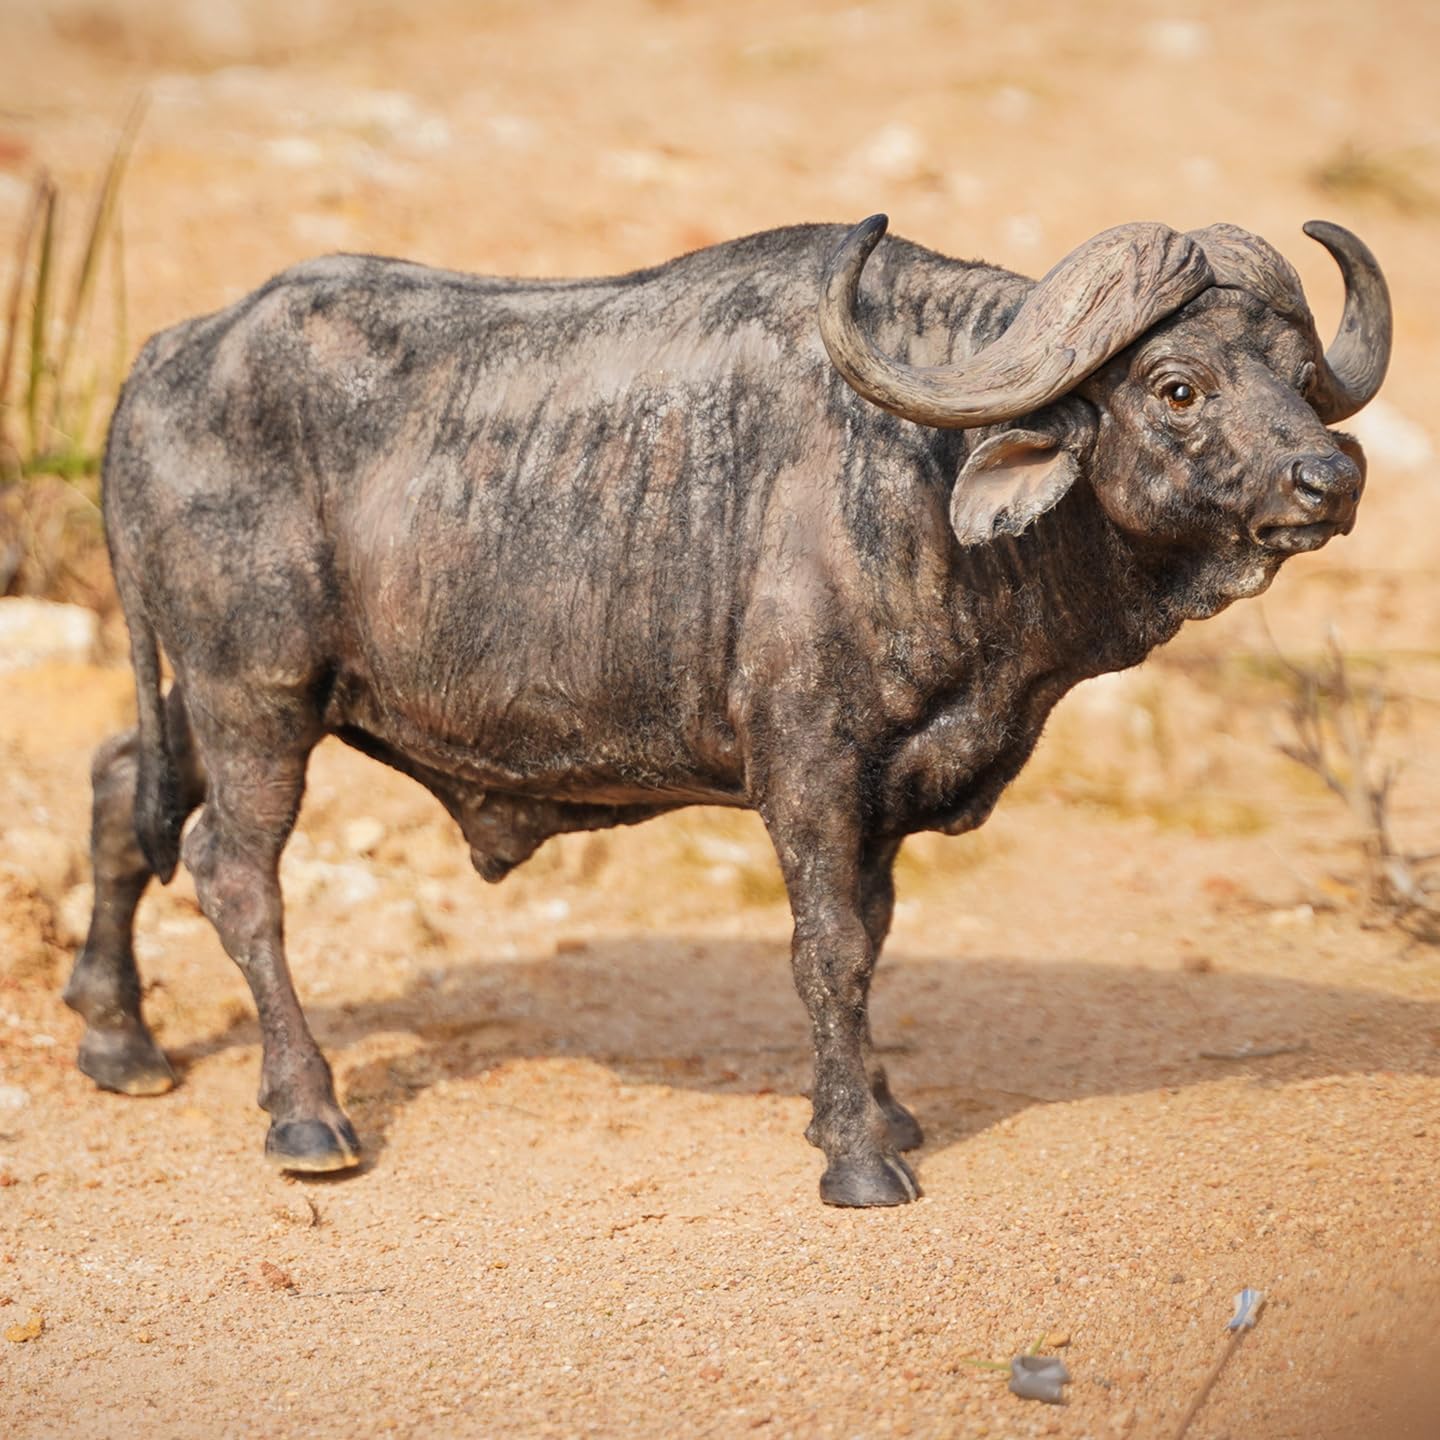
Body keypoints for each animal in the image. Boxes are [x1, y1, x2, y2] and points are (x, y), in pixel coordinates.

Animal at [61, 213, 1390, 1205]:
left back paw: (119, 1038)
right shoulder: (808, 766)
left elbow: (874, 934)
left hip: (208, 690)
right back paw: (306, 1113)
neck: (918, 485)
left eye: (1295, 376)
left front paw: (880, 1109)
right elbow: (830, 947)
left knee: (122, 781)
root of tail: (170, 356)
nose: (1331, 477)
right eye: (1178, 386)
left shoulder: (887, 789)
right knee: (231, 870)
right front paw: (856, 1155)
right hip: (255, 690)